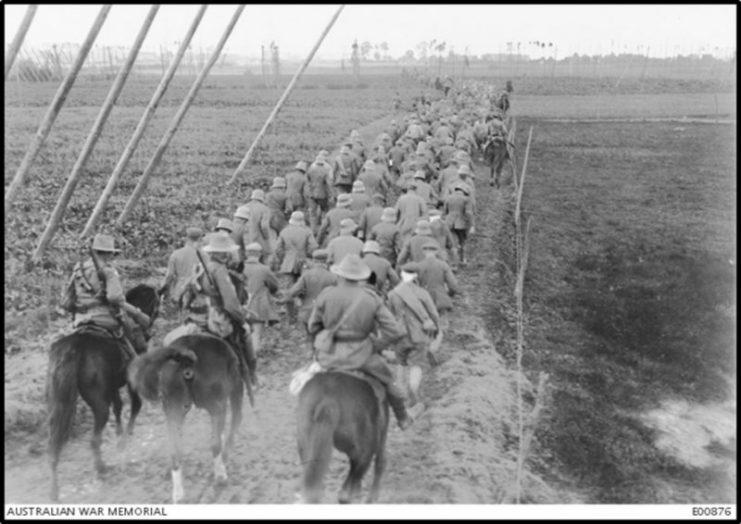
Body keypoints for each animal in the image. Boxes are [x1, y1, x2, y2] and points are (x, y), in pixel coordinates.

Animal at [46, 284, 160, 502]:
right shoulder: (130, 378)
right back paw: (101, 469)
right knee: (94, 439)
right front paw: (124, 438)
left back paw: (54, 489)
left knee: (54, 442)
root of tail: (75, 347)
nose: (149, 327)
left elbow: (119, 407)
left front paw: (119, 433)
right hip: (99, 403)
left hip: (58, 401)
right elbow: (135, 405)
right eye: (156, 303)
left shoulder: (111, 386)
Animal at [127, 332, 243, 504]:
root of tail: (184, 358)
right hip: (217, 407)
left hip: (174, 412)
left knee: (175, 451)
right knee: (215, 443)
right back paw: (220, 475)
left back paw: (178, 493)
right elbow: (234, 423)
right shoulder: (236, 389)